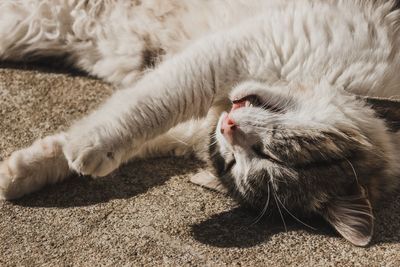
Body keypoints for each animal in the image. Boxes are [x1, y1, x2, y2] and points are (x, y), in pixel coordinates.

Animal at [0, 0, 400, 248]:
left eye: (235, 163)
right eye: (275, 150)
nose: (229, 128)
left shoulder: (184, 130)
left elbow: (129, 131)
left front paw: (22, 172)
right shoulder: (224, 56)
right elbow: (152, 104)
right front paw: (88, 147)